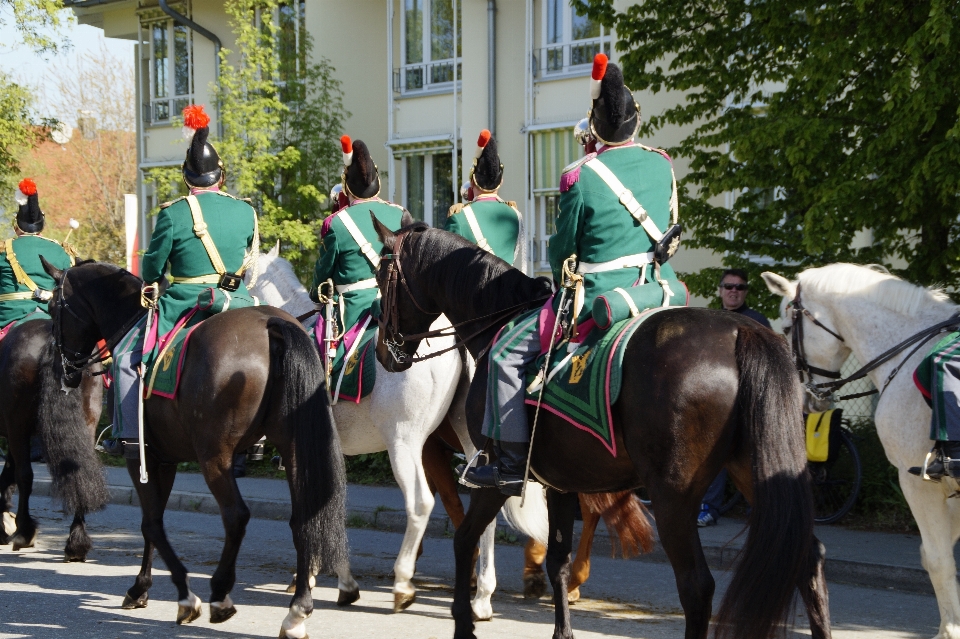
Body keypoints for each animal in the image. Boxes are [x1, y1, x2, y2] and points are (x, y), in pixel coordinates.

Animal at [0, 320, 109, 560]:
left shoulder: (14, 431)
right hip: (87, 422)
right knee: (81, 472)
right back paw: (76, 542)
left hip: (18, 425)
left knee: (25, 476)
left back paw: (24, 532)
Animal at [43, 258, 348, 639]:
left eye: (53, 308)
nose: (64, 372)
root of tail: (272, 323)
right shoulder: (166, 459)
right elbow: (154, 521)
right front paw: (141, 589)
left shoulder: (140, 457)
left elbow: (151, 523)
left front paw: (179, 596)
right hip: (291, 449)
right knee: (303, 517)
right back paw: (298, 610)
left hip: (214, 457)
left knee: (236, 515)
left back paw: (220, 595)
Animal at [248, 248, 548, 616]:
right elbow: (330, 506)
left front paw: (309, 575)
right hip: (470, 444)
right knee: (484, 509)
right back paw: (482, 597)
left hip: (404, 443)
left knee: (420, 503)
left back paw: (404, 583)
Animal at [372, 221, 828, 639]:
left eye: (380, 273)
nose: (384, 353)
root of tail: (740, 329)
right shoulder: (558, 483)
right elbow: (557, 559)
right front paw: (562, 631)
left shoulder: (496, 474)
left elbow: (465, 539)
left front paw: (464, 623)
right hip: (753, 471)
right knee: (808, 562)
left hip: (673, 496)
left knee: (697, 586)